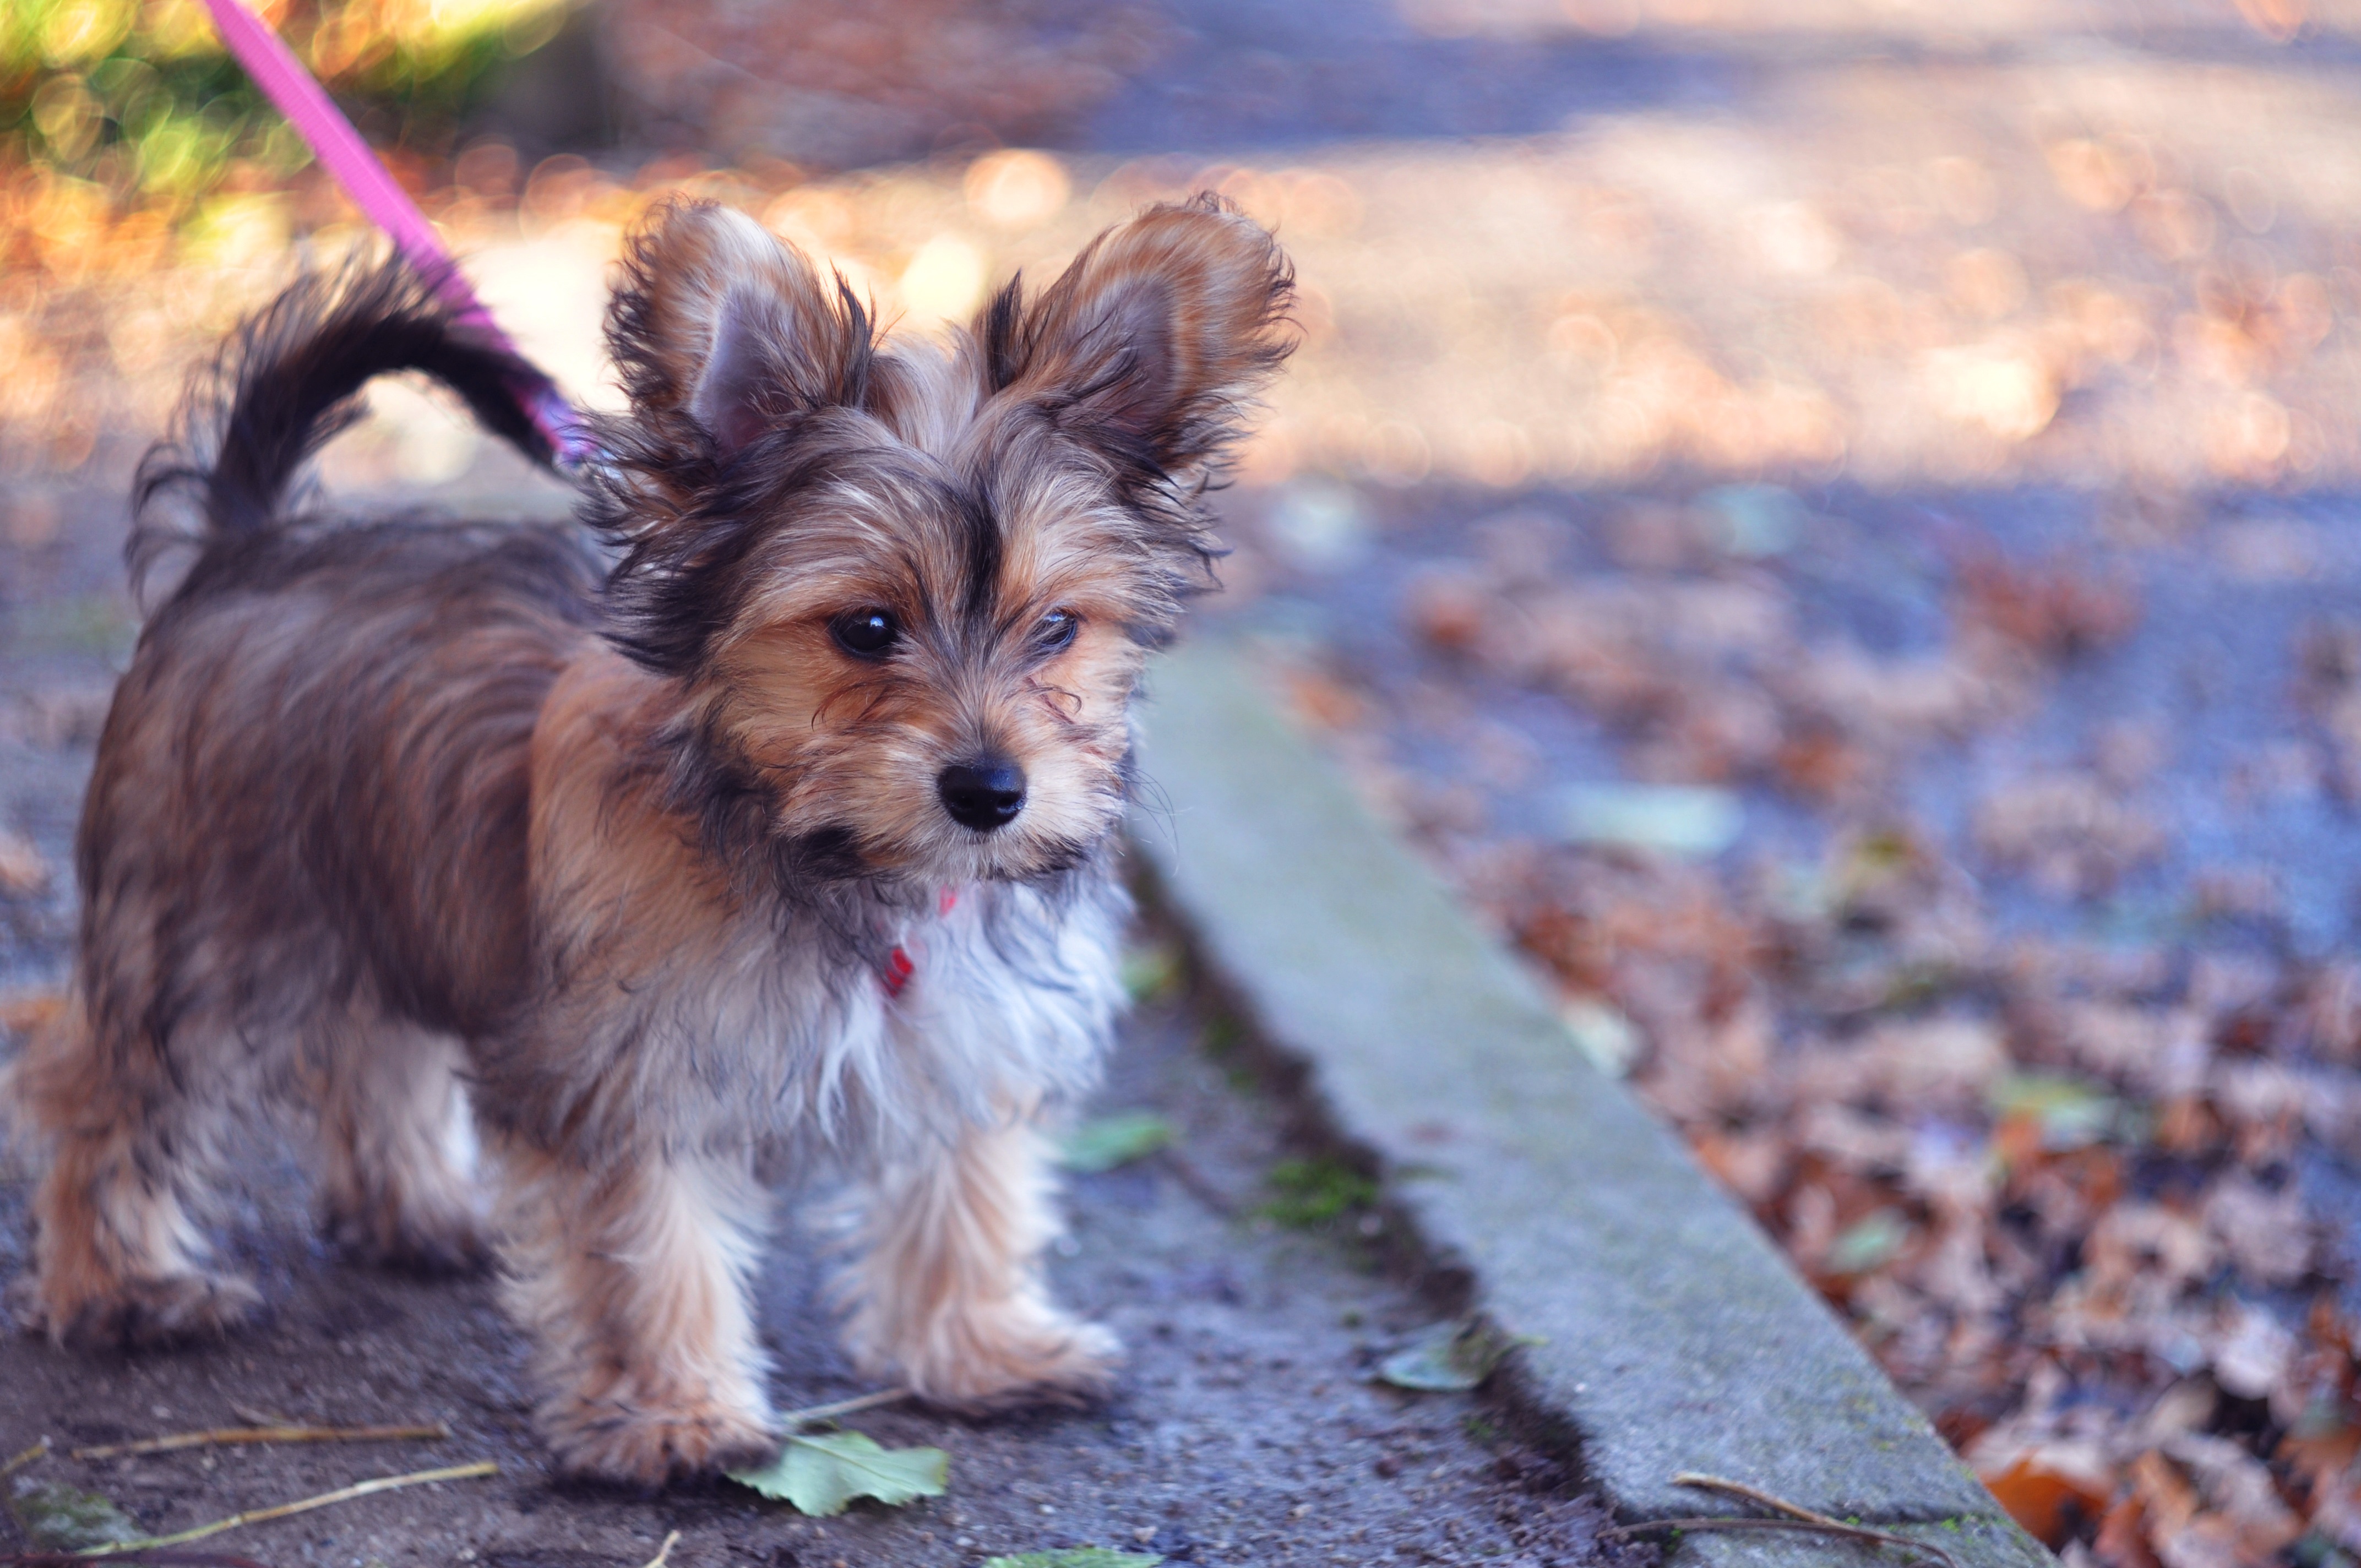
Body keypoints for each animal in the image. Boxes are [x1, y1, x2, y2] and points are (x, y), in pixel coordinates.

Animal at [14, 192, 1293, 1483]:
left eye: (1058, 627)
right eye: (866, 627)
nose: (989, 790)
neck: (833, 855)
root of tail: (249, 546)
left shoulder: (966, 1032)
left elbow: (966, 1190)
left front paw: (980, 1344)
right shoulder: (629, 1067)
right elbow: (648, 1245)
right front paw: (672, 1411)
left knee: (376, 1046)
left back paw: (419, 1209)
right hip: (207, 928)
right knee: (105, 1085)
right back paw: (124, 1282)